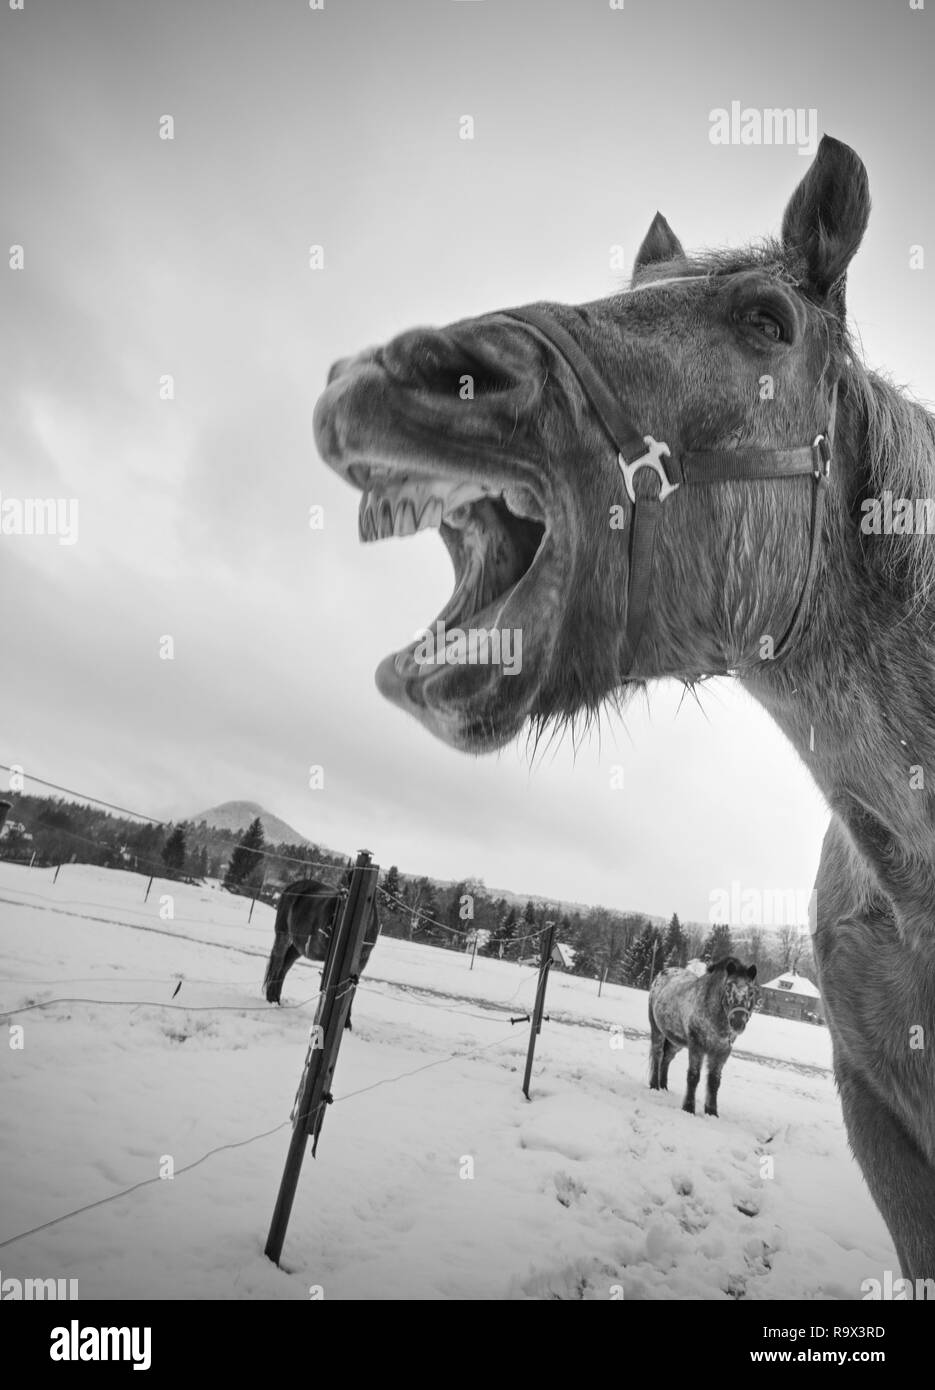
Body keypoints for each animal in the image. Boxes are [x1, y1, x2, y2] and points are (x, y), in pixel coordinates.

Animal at [262, 874, 380, 1028]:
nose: (331, 925)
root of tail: (292, 887)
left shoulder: (361, 964)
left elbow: (352, 991)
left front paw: (347, 1023)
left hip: (298, 946)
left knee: (284, 966)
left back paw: (276, 998)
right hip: (283, 935)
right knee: (278, 962)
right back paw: (271, 999)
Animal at [649, 958, 758, 1117]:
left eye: (751, 992)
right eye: (728, 989)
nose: (738, 1023)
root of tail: (663, 972)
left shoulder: (722, 1052)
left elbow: (714, 1081)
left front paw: (712, 1112)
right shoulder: (697, 1046)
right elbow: (694, 1076)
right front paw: (688, 1108)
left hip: (676, 1042)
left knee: (666, 1058)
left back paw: (663, 1087)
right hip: (657, 1030)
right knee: (657, 1054)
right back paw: (654, 1086)